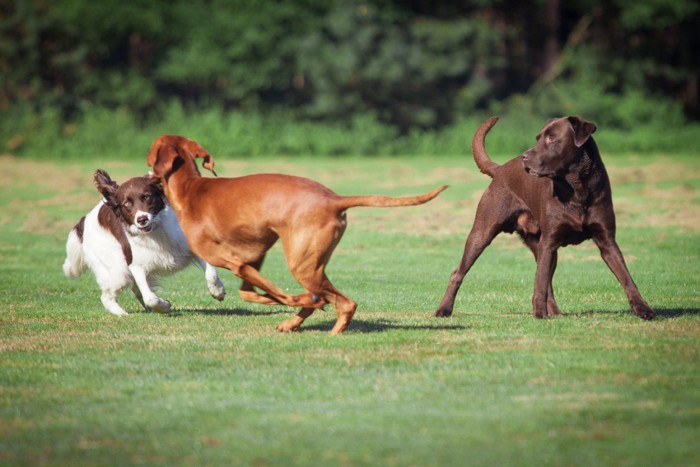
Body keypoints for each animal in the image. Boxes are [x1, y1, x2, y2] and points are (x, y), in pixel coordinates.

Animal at [64, 170, 224, 316]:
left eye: (146, 197)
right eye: (127, 203)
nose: (142, 219)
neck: (156, 231)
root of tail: (83, 221)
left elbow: (211, 273)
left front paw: (218, 291)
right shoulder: (136, 265)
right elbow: (150, 298)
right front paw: (164, 306)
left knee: (134, 290)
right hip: (118, 272)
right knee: (107, 296)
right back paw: (122, 314)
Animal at [434, 117, 652, 322]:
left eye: (552, 138)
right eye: (538, 138)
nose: (524, 157)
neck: (576, 189)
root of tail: (500, 169)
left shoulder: (606, 240)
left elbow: (626, 276)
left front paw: (643, 309)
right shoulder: (549, 241)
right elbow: (539, 282)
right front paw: (539, 313)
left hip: (541, 247)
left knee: (548, 283)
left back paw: (554, 313)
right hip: (482, 232)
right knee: (458, 272)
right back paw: (443, 310)